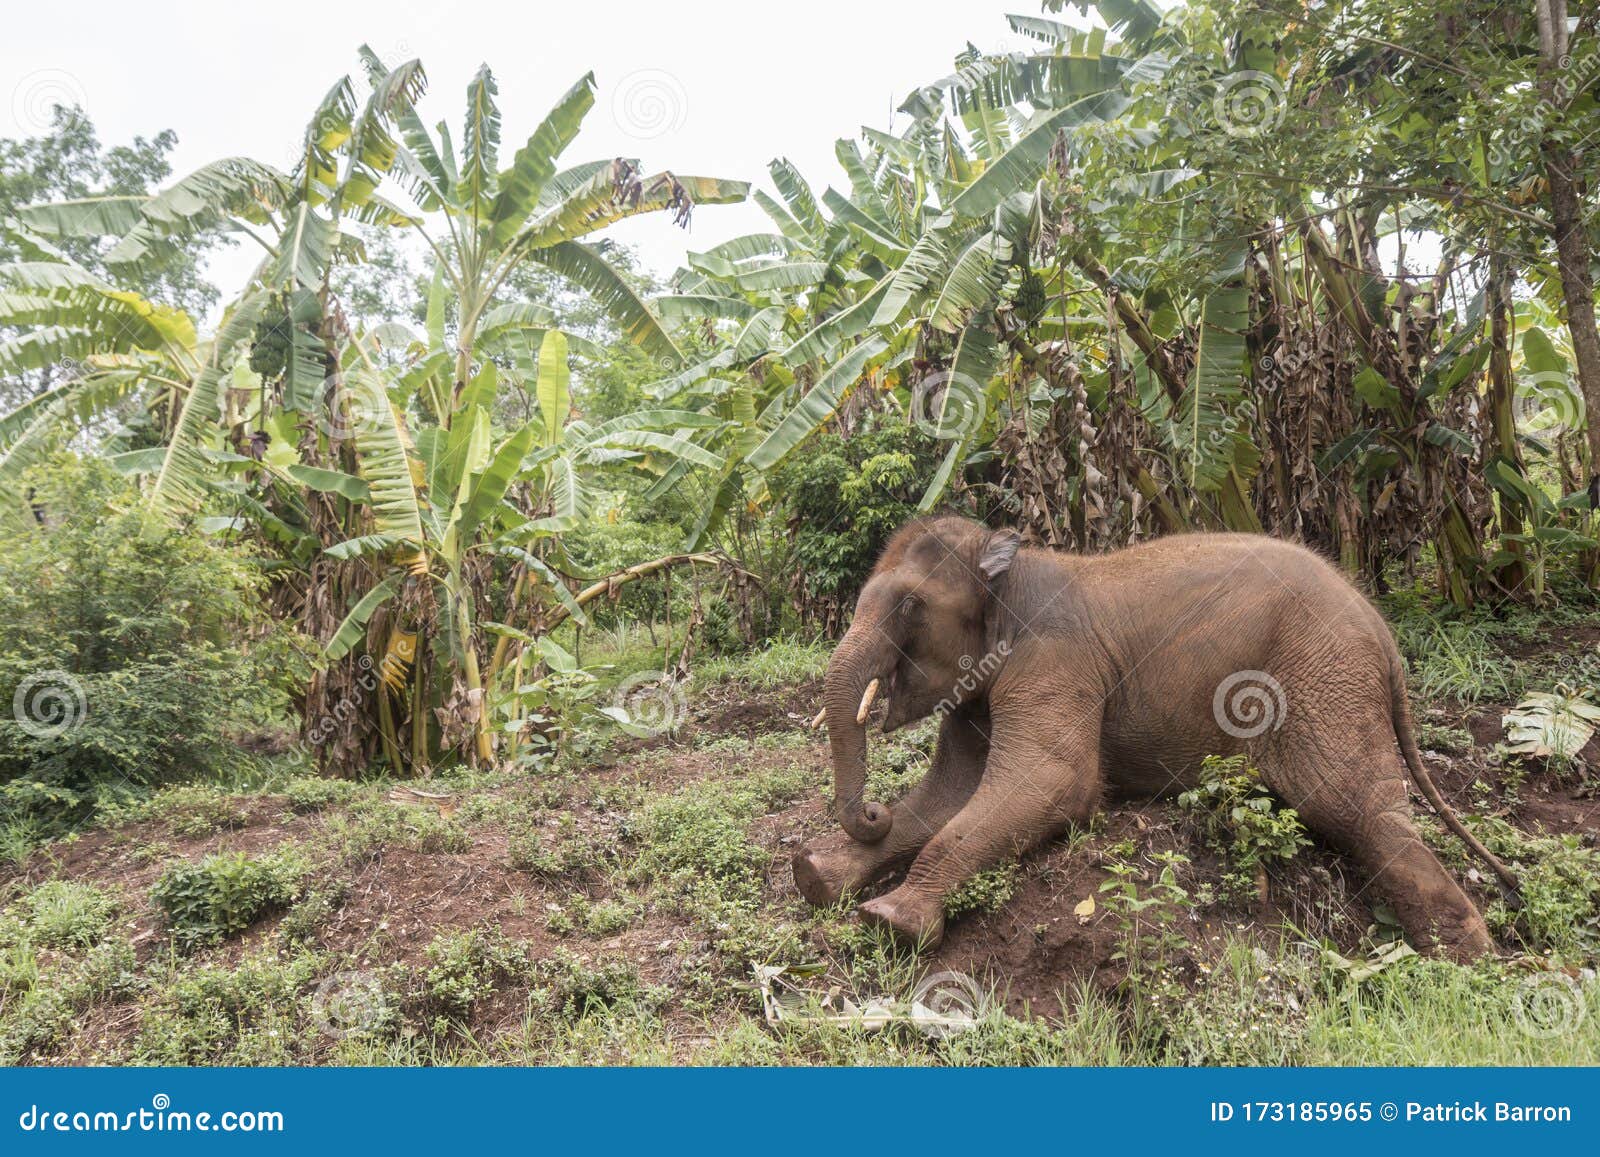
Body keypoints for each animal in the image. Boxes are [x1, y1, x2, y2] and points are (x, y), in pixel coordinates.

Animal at [793, 515, 1516, 960]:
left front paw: (889, 920)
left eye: (910, 607)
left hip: (1323, 680)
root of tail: (1382, 629)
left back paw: (1466, 955)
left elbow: (1056, 783)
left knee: (1356, 807)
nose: (871, 811)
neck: (1012, 562)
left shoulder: (1056, 661)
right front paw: (816, 877)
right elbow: (946, 797)